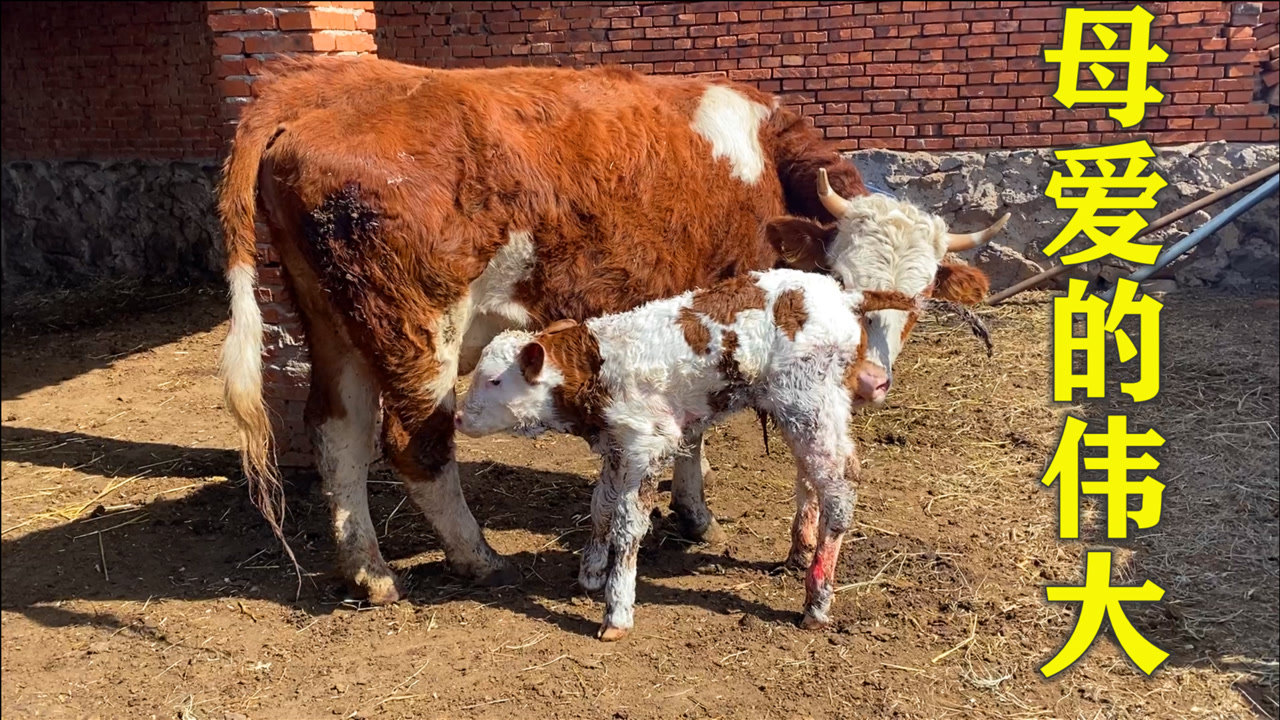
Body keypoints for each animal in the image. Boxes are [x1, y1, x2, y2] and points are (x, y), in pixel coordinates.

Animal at [455, 266, 926, 635]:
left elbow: (628, 527)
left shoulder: (648, 445)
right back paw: (799, 552)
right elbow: (600, 509)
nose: (458, 418)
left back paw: (816, 600)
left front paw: (616, 610)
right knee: (813, 473)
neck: (598, 367)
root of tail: (842, 294)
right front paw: (590, 573)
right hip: (808, 411)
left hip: (809, 401)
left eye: (494, 380)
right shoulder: (616, 447)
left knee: (839, 484)